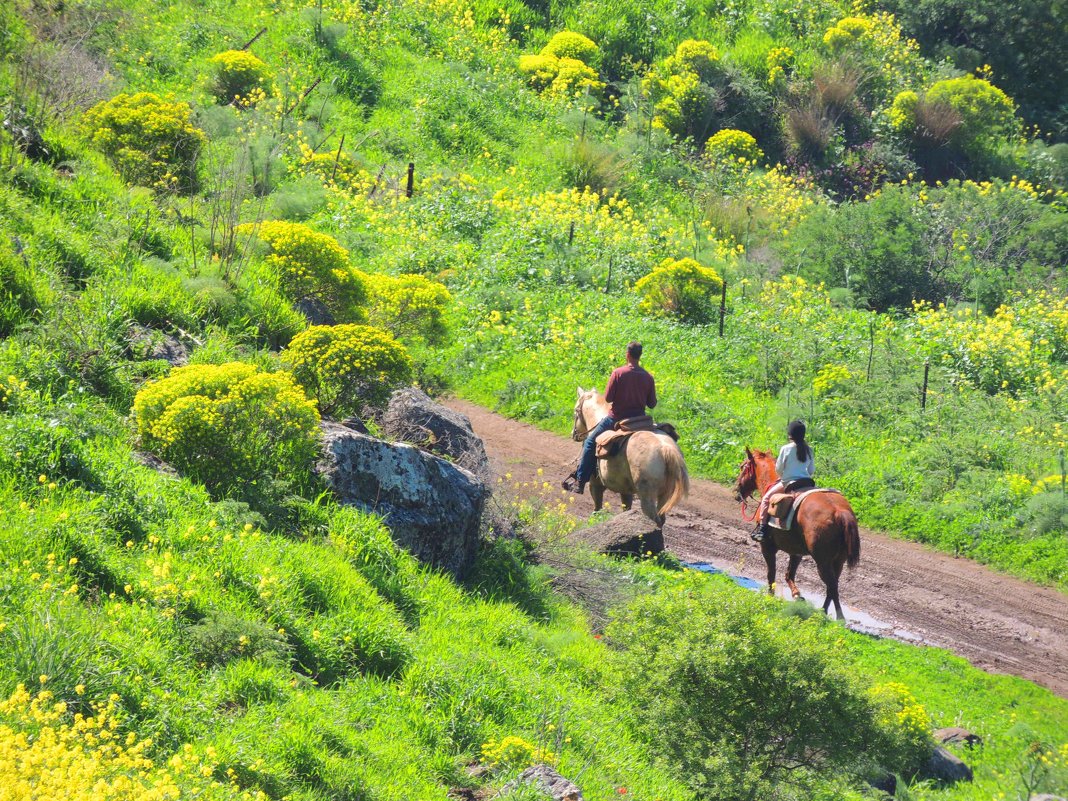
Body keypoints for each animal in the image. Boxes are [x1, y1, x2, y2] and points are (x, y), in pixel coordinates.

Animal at [572, 386, 687, 529]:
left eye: (575, 411)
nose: (574, 434)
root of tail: (666, 449)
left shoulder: (595, 484)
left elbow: (597, 507)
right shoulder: (625, 491)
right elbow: (626, 508)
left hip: (647, 496)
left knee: (653, 518)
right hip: (664, 494)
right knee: (661, 518)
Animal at [734, 448, 858, 623]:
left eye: (742, 467)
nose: (737, 492)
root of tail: (839, 511)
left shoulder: (767, 547)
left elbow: (771, 572)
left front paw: (770, 596)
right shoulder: (796, 551)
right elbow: (789, 573)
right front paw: (797, 595)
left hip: (823, 562)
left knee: (832, 586)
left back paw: (839, 617)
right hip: (838, 561)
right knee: (832, 586)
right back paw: (823, 611)